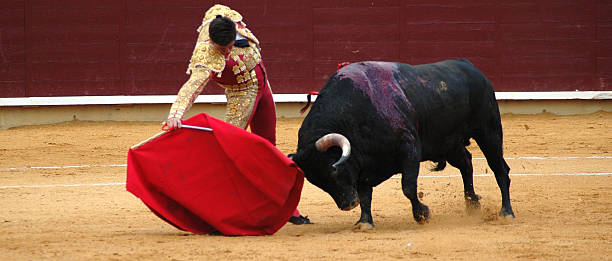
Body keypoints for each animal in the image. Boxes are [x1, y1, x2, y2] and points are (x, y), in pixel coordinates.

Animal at [292, 59, 516, 230]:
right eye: (316, 181)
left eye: (334, 171)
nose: (348, 205)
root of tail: (471, 67)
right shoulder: (363, 166)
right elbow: (365, 195)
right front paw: (365, 222)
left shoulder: (409, 150)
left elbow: (408, 186)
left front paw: (422, 214)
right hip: (449, 143)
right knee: (466, 163)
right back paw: (472, 204)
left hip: (489, 131)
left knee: (499, 169)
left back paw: (506, 212)